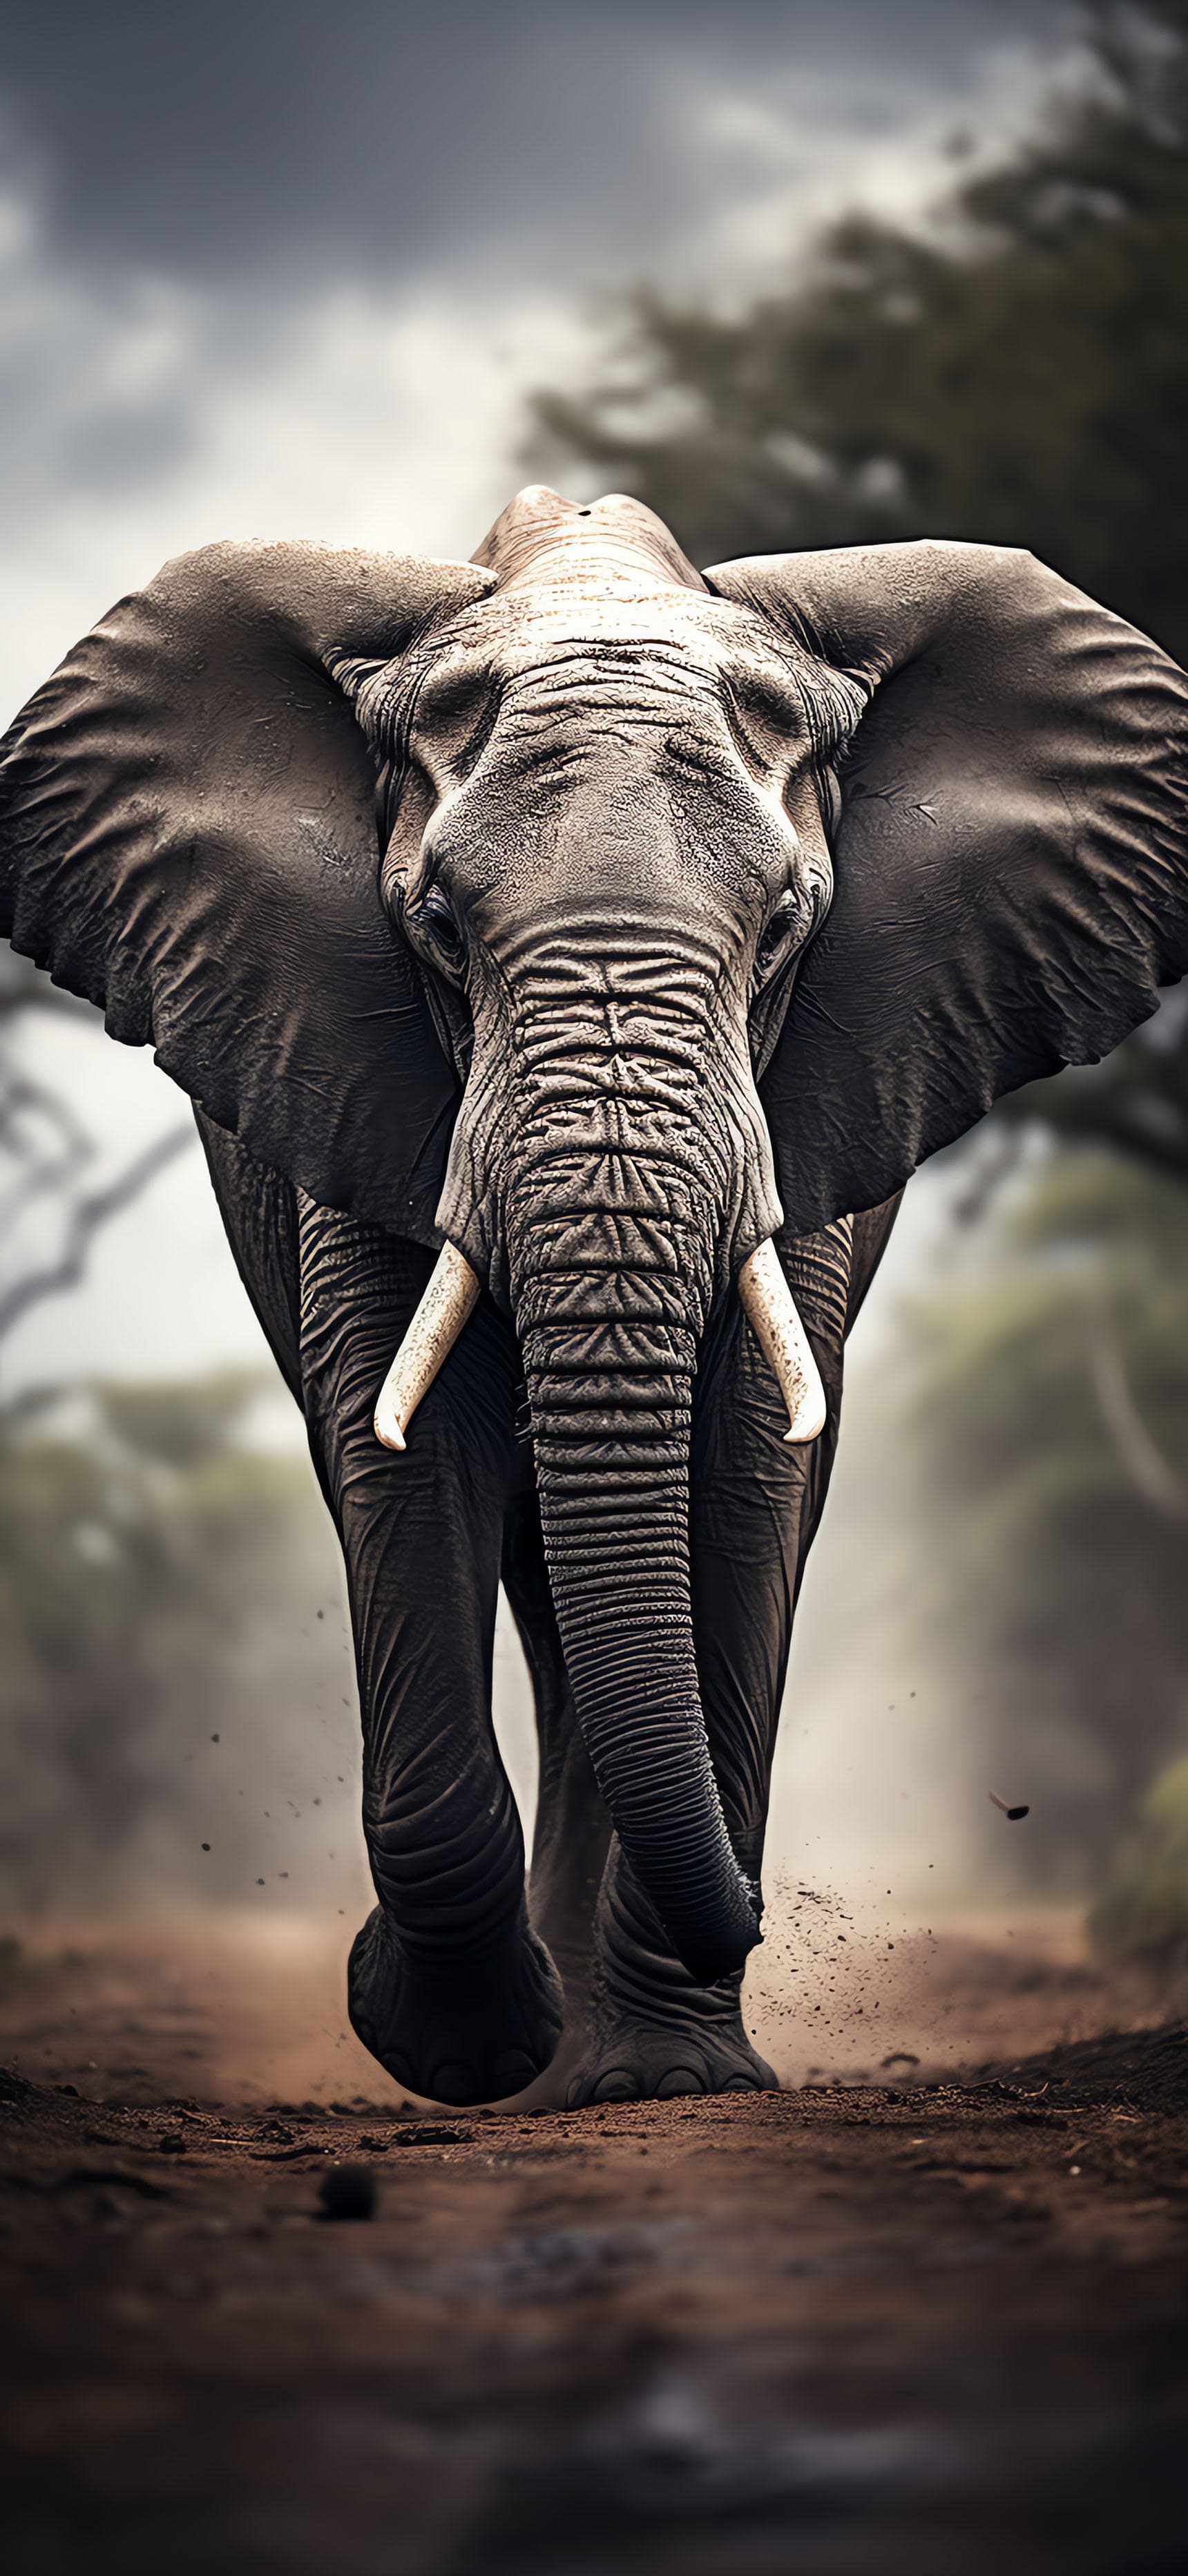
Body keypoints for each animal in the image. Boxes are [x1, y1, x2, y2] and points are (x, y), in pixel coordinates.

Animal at [2, 484, 1186, 2108]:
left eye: (786, 924)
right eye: (436, 924)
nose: (769, 1906)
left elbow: (748, 1464)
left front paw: (668, 2079)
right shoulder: (352, 1068)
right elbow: (403, 1450)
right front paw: (457, 2040)